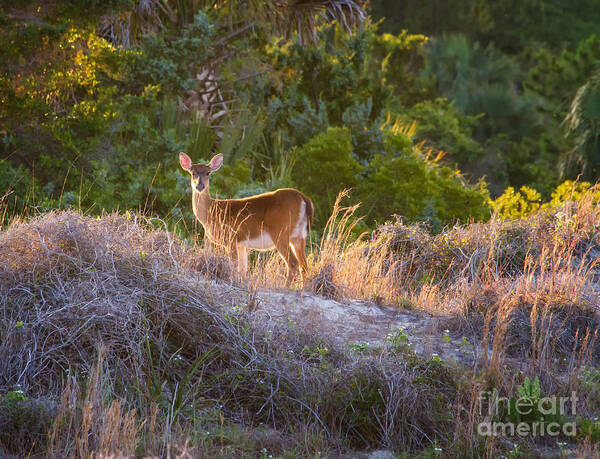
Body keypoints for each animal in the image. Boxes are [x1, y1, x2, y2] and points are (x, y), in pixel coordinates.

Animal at [179, 153, 314, 284]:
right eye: (193, 173)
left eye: (208, 173)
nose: (200, 186)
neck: (211, 211)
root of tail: (304, 199)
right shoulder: (242, 244)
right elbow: (243, 270)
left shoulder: (231, 238)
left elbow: (234, 267)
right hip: (298, 236)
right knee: (304, 266)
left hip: (280, 232)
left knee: (293, 264)